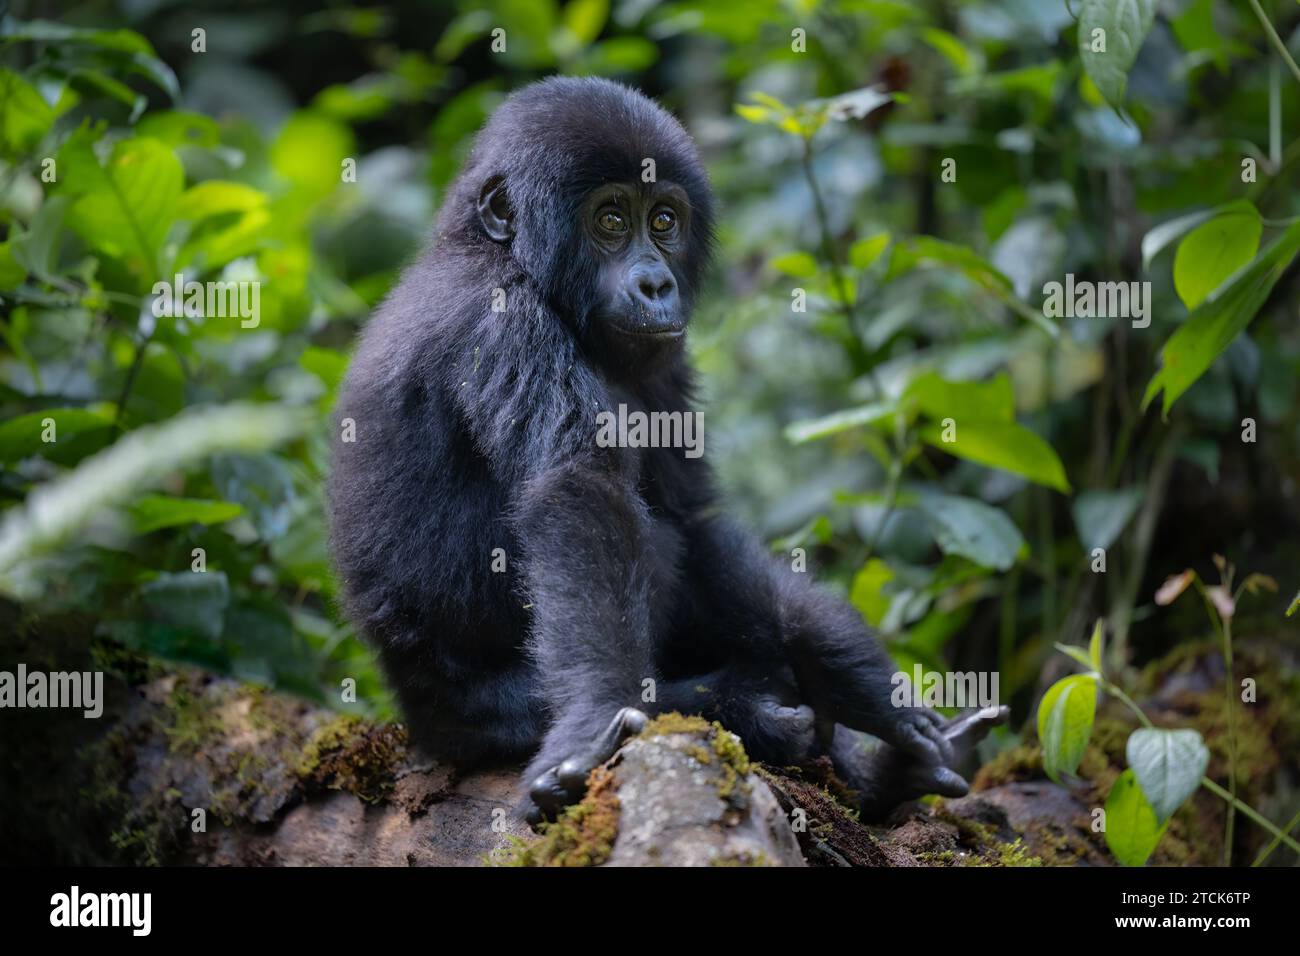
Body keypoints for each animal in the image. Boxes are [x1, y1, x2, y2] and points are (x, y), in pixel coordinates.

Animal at [327, 76, 1003, 822]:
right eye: (610, 220)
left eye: (664, 221)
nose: (656, 284)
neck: (501, 253)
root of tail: (419, 721)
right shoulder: (502, 320)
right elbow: (579, 492)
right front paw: (594, 725)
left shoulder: (662, 363)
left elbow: (693, 515)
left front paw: (861, 683)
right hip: (481, 714)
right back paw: (755, 714)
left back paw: (876, 768)